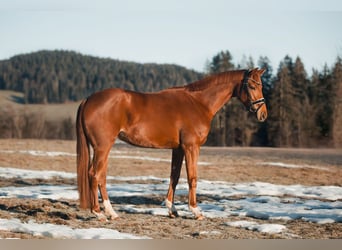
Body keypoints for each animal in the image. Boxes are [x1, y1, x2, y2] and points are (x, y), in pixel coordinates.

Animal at [77, 68, 268, 221]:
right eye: (252, 86)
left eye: (261, 86)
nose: (263, 114)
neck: (198, 103)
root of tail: (88, 99)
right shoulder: (191, 147)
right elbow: (192, 177)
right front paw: (196, 211)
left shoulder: (178, 149)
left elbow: (174, 177)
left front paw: (172, 209)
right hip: (103, 147)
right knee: (94, 174)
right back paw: (99, 213)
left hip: (103, 148)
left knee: (101, 176)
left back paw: (110, 212)